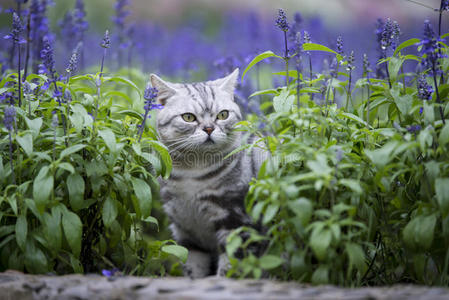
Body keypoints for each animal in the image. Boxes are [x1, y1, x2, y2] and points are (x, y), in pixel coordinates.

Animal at [150, 69, 268, 278]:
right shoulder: (185, 228)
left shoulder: (236, 221)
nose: (209, 128)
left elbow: (230, 267)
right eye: (188, 117)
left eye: (223, 115)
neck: (191, 174)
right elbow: (193, 267)